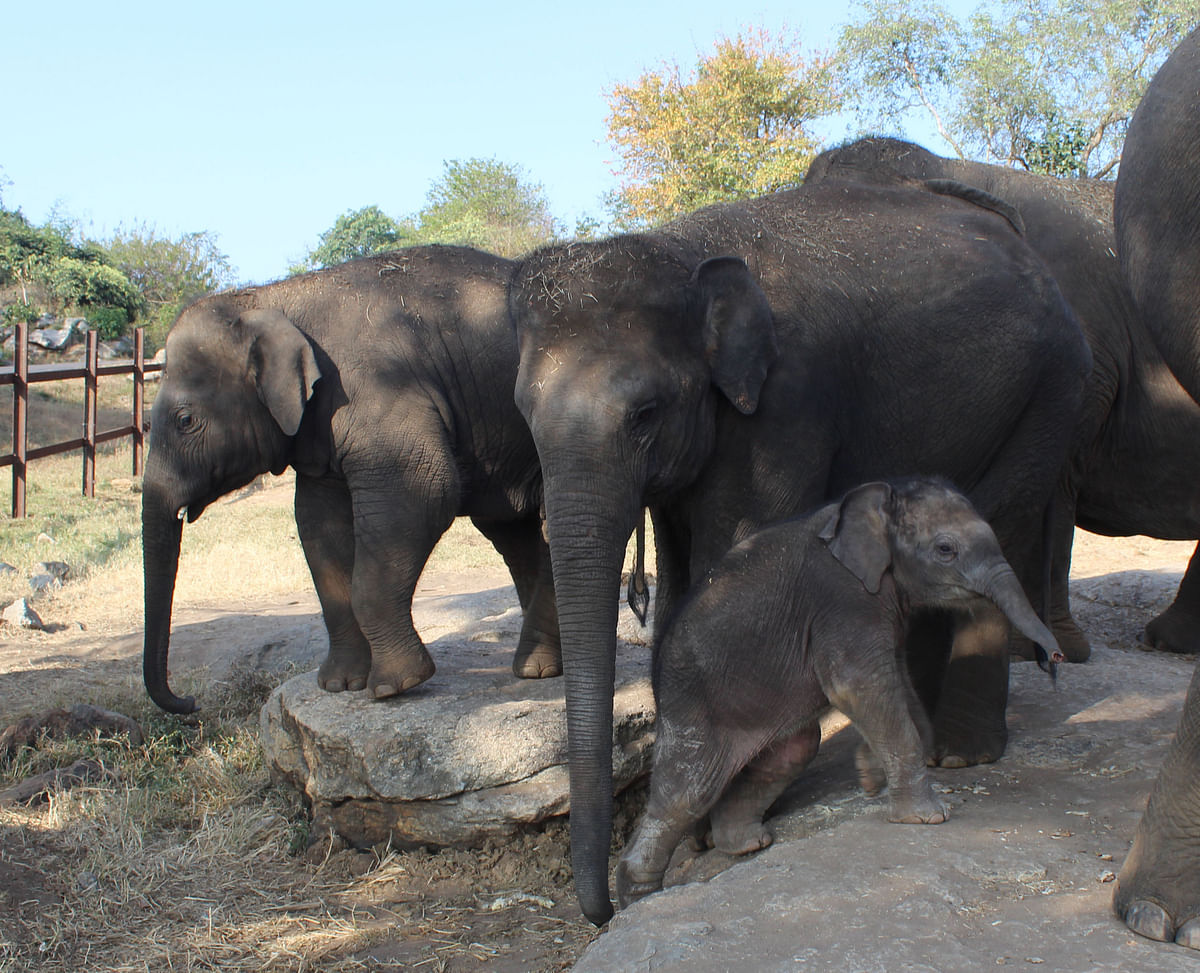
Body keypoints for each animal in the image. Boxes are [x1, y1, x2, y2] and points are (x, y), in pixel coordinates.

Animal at [141, 245, 556, 715]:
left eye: (185, 420)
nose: (190, 702)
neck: (272, 298)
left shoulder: (377, 390)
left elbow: (425, 492)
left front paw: (396, 686)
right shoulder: (320, 429)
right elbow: (318, 523)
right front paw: (340, 685)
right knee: (513, 530)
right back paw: (538, 667)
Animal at [614, 479, 1065, 911]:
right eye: (945, 549)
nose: (1056, 658)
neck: (882, 498)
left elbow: (893, 683)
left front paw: (869, 775)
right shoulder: (844, 600)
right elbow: (855, 683)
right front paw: (927, 819)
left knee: (790, 752)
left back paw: (746, 844)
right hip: (694, 705)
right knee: (688, 791)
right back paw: (640, 896)